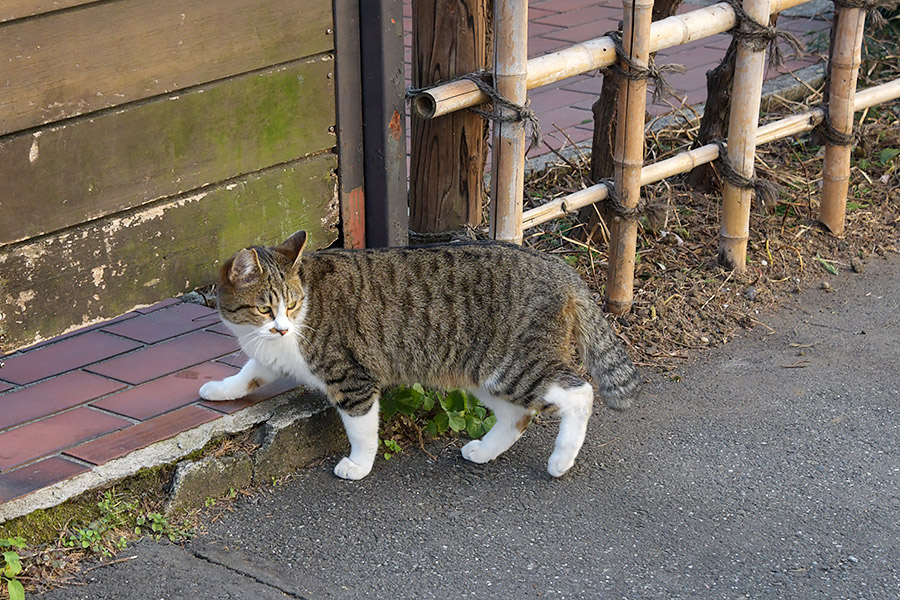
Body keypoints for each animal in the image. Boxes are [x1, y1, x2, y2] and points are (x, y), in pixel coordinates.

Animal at [202, 230, 640, 478]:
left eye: (291, 304)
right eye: (266, 309)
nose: (282, 326)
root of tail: (557, 265)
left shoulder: (351, 379)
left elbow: (362, 429)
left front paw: (359, 465)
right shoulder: (269, 352)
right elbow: (250, 373)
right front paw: (220, 389)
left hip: (515, 365)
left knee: (579, 394)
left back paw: (562, 461)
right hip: (482, 372)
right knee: (518, 415)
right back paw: (484, 450)